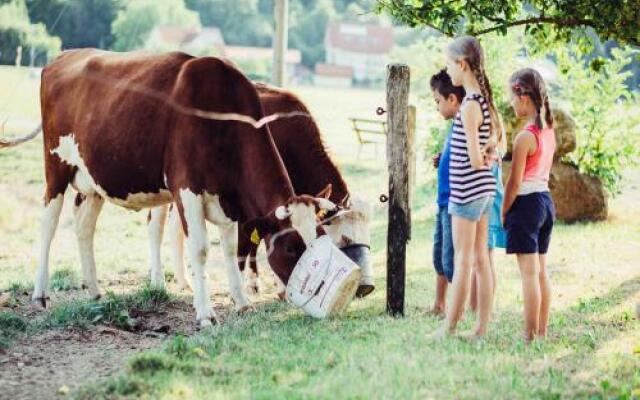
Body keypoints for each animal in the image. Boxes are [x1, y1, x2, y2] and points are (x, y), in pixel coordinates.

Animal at [1, 49, 336, 324]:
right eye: (291, 247)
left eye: (321, 237)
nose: (313, 286)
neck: (224, 119)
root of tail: (62, 57)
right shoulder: (187, 188)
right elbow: (200, 249)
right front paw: (205, 313)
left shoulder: (227, 200)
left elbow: (229, 251)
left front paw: (241, 303)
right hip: (56, 166)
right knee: (49, 224)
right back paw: (40, 294)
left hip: (93, 182)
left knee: (84, 228)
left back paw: (95, 290)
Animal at [149, 83, 376, 296]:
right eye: (345, 239)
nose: (365, 287)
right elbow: (247, 244)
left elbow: (256, 241)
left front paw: (256, 283)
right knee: (156, 225)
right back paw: (158, 280)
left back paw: (184, 280)